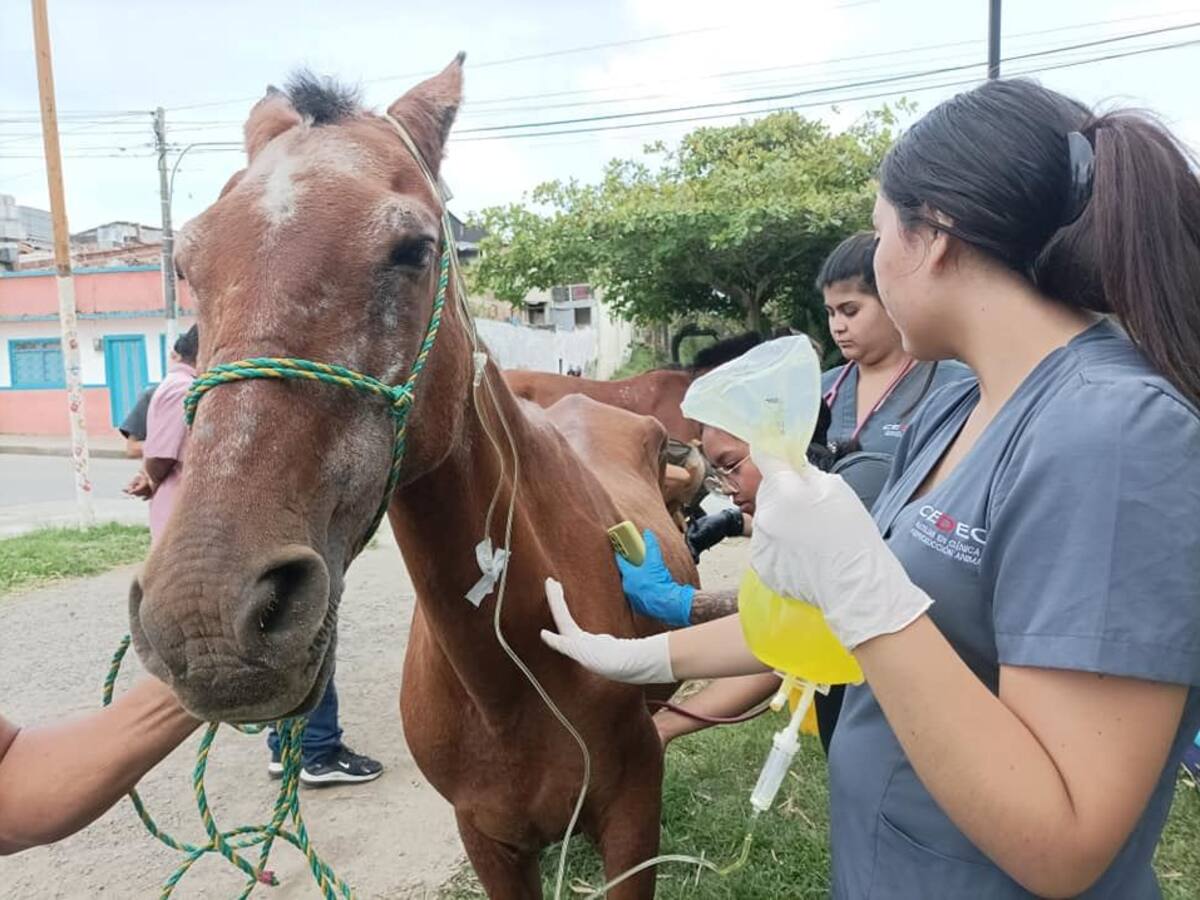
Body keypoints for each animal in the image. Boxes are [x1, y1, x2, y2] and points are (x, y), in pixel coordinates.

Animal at [128, 57, 695, 898]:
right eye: (186, 263)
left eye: (414, 249)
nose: (205, 618)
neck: (509, 681)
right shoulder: (488, 839)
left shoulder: (633, 816)